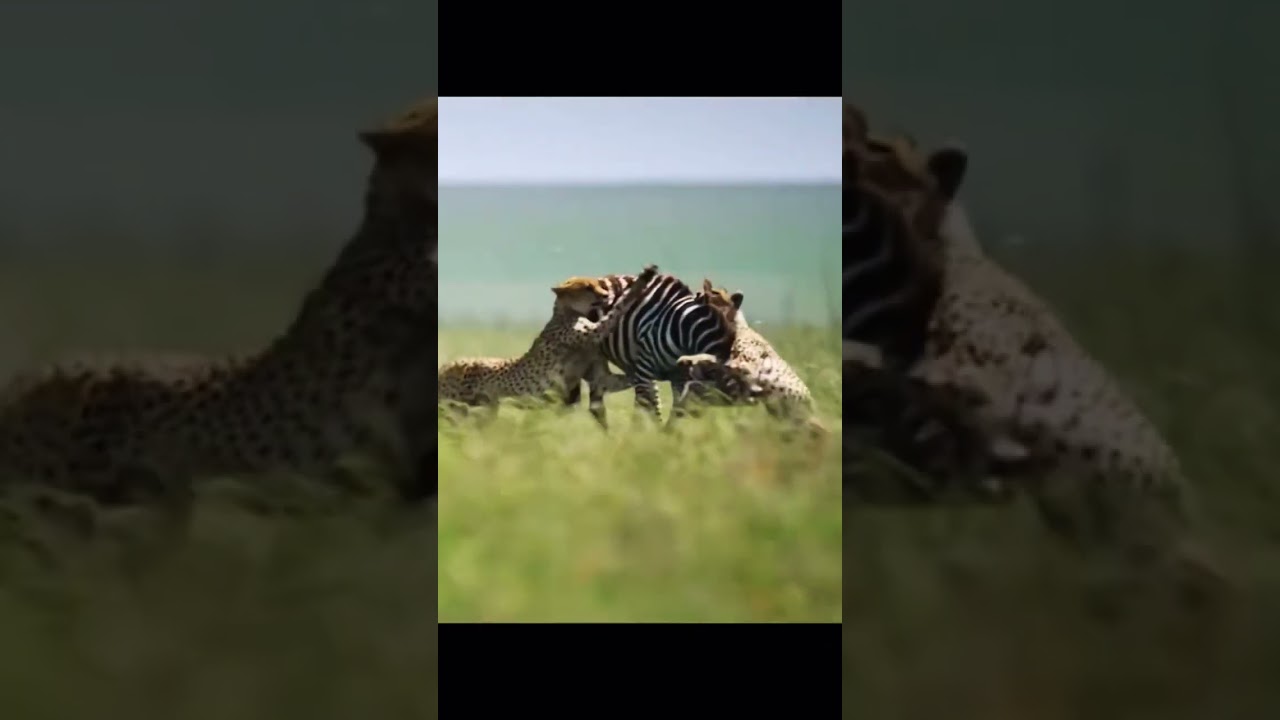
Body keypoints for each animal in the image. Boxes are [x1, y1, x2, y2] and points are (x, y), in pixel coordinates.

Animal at [437, 264, 659, 429]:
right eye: (588, 287)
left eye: (598, 285)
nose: (605, 294)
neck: (568, 312)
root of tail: (444, 367)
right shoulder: (594, 332)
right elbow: (617, 309)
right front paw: (644, 278)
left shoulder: (601, 378)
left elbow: (627, 378)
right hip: (459, 404)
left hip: (485, 407)